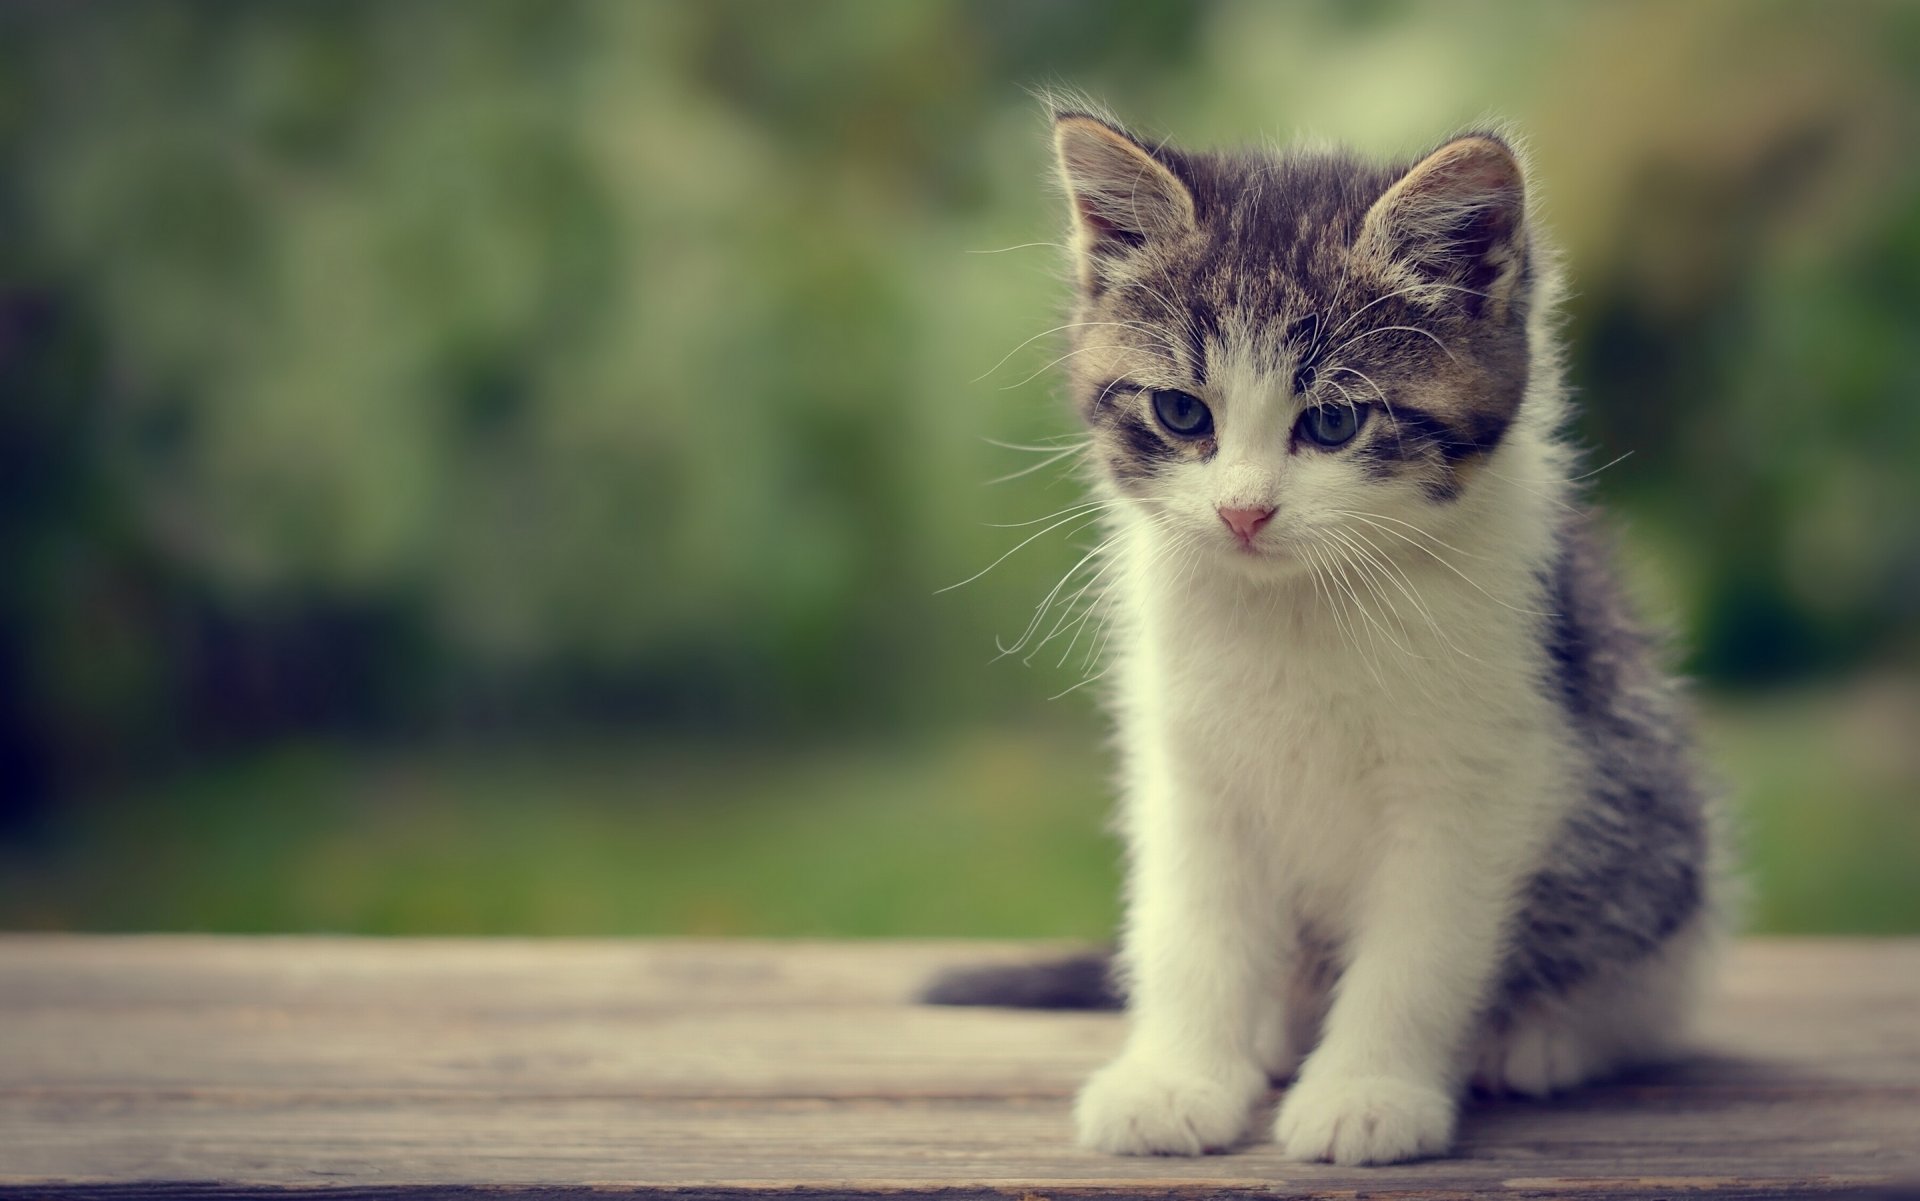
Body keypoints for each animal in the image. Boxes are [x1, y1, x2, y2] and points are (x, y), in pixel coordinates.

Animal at [929, 107, 1728, 1166]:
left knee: (1649, 982)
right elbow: (1190, 926)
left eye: (1336, 420)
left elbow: (1419, 949)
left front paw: (1368, 1091)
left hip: (1654, 827)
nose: (1243, 512)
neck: (1300, 606)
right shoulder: (1187, 765)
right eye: (1181, 411)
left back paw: (1541, 1037)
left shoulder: (1482, 773)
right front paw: (1175, 1076)